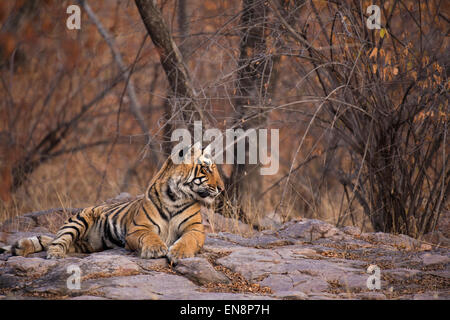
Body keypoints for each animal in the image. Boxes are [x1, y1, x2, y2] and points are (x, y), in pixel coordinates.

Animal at [4, 144, 225, 264]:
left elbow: (188, 239)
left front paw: (179, 252)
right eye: (207, 169)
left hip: (89, 245)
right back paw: (53, 254)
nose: (222, 188)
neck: (175, 196)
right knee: (58, 240)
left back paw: (20, 247)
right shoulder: (138, 228)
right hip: (78, 220)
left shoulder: (195, 229)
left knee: (55, 241)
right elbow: (150, 236)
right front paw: (155, 249)